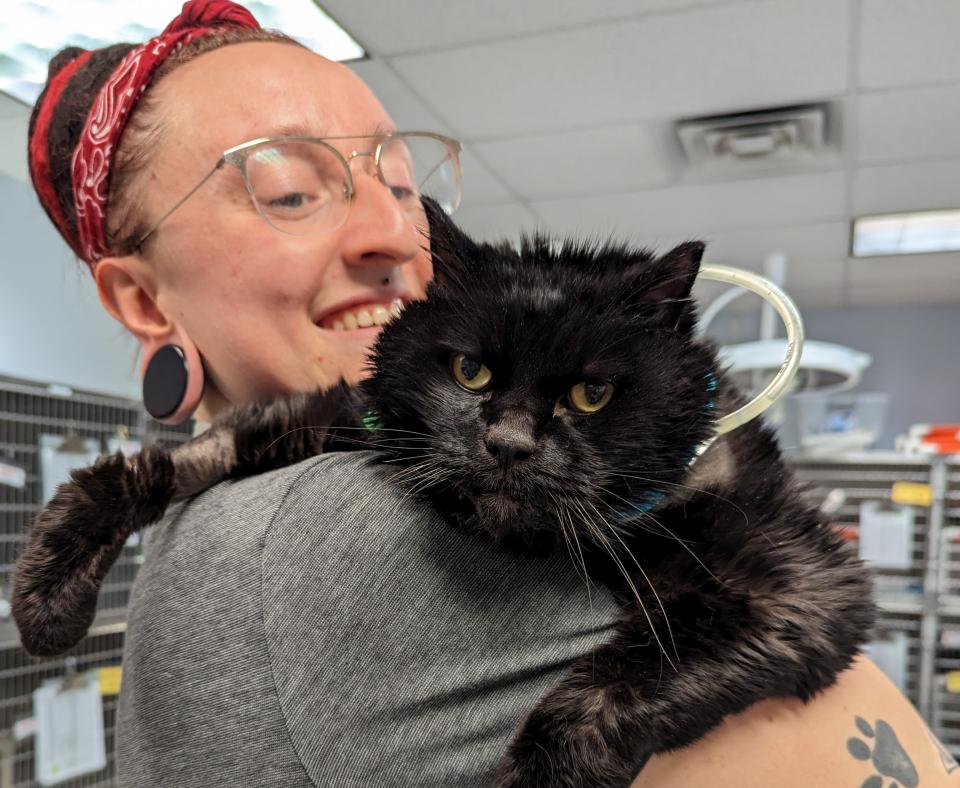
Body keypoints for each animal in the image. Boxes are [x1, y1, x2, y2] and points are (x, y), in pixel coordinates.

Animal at [11, 200, 872, 784]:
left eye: (592, 394)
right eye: (471, 372)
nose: (509, 444)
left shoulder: (798, 590)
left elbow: (597, 698)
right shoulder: (357, 415)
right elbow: (196, 450)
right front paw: (47, 597)